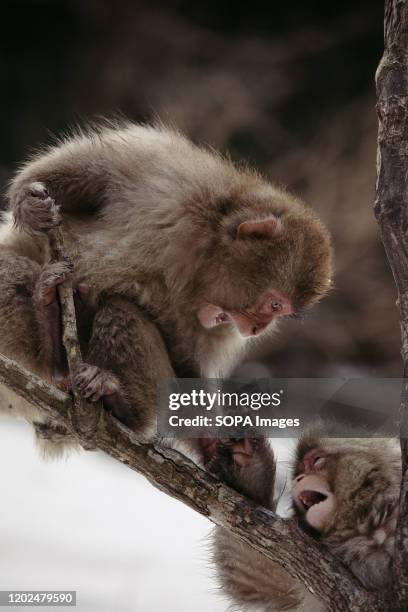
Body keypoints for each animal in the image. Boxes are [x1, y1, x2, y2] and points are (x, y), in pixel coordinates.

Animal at [0, 120, 332, 454]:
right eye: (275, 305)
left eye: (277, 314)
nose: (257, 329)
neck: (201, 260)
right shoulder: (173, 177)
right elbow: (93, 169)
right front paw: (28, 201)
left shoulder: (216, 330)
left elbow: (186, 367)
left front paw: (219, 448)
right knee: (13, 269)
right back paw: (50, 330)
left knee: (122, 311)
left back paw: (114, 403)